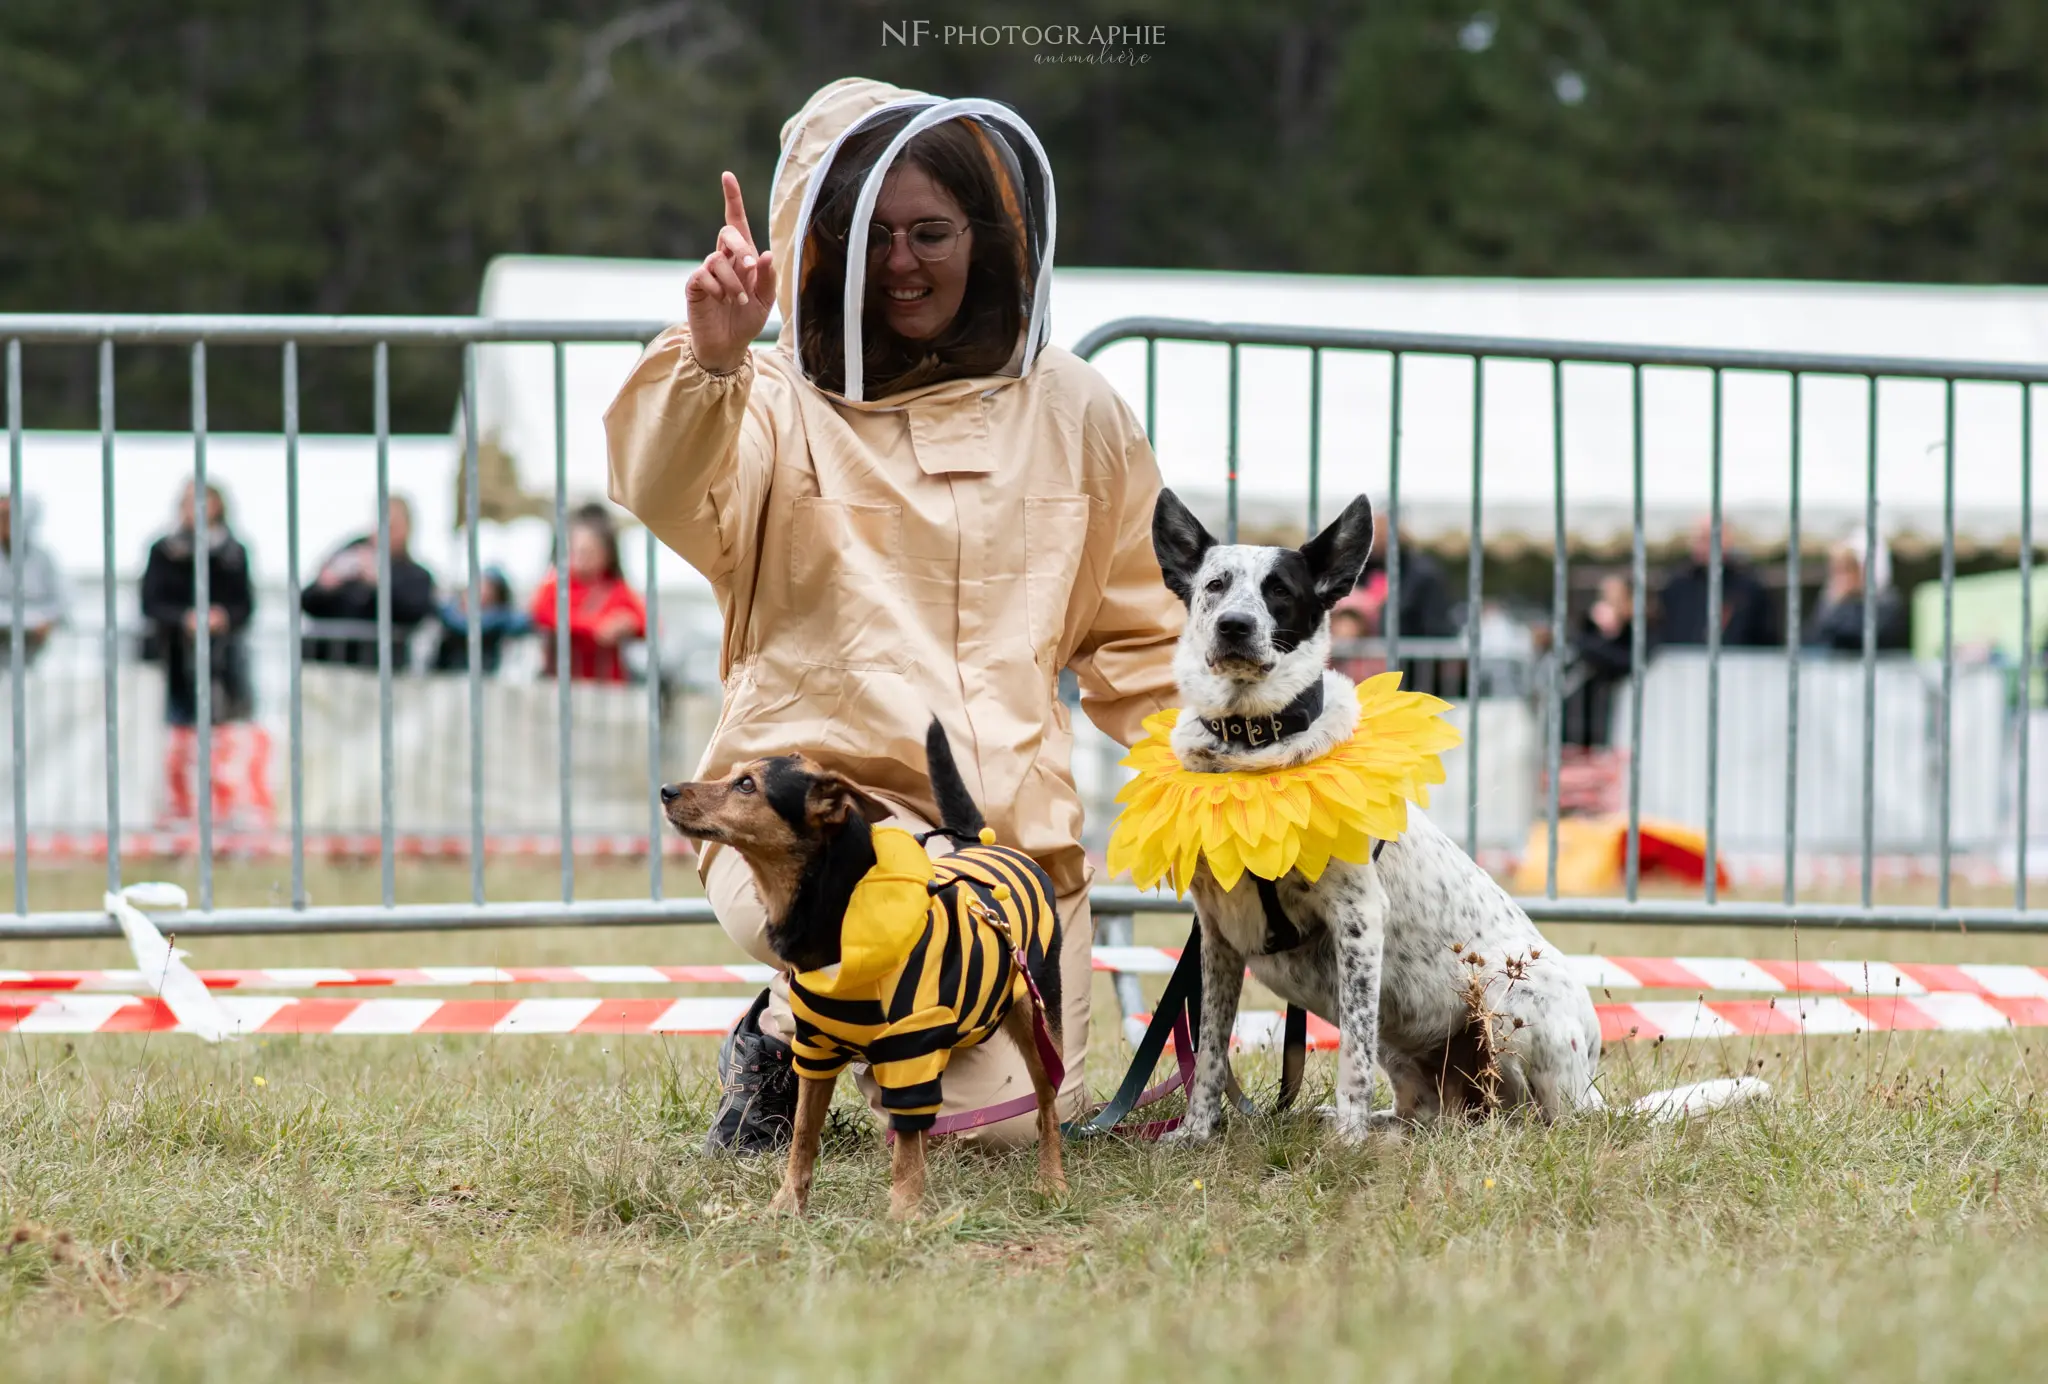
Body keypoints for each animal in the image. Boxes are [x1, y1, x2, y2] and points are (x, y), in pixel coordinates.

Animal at [663, 720, 1064, 1220]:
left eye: (746, 785)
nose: (666, 790)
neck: (835, 912)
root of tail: (980, 844)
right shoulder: (815, 1050)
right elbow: (803, 1138)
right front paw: (786, 1206)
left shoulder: (910, 1049)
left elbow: (904, 1147)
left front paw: (904, 1216)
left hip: (1038, 1021)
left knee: (1047, 1106)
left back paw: (1052, 1183)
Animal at [1146, 491, 1769, 1138]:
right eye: (1215, 585)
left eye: (1280, 592)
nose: (1234, 626)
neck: (1252, 751)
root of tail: (1592, 1097)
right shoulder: (1218, 936)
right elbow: (1209, 1051)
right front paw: (1196, 1134)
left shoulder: (1358, 920)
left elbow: (1351, 1060)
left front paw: (1346, 1142)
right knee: (1428, 1113)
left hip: (1506, 1004)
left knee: (1526, 1116)